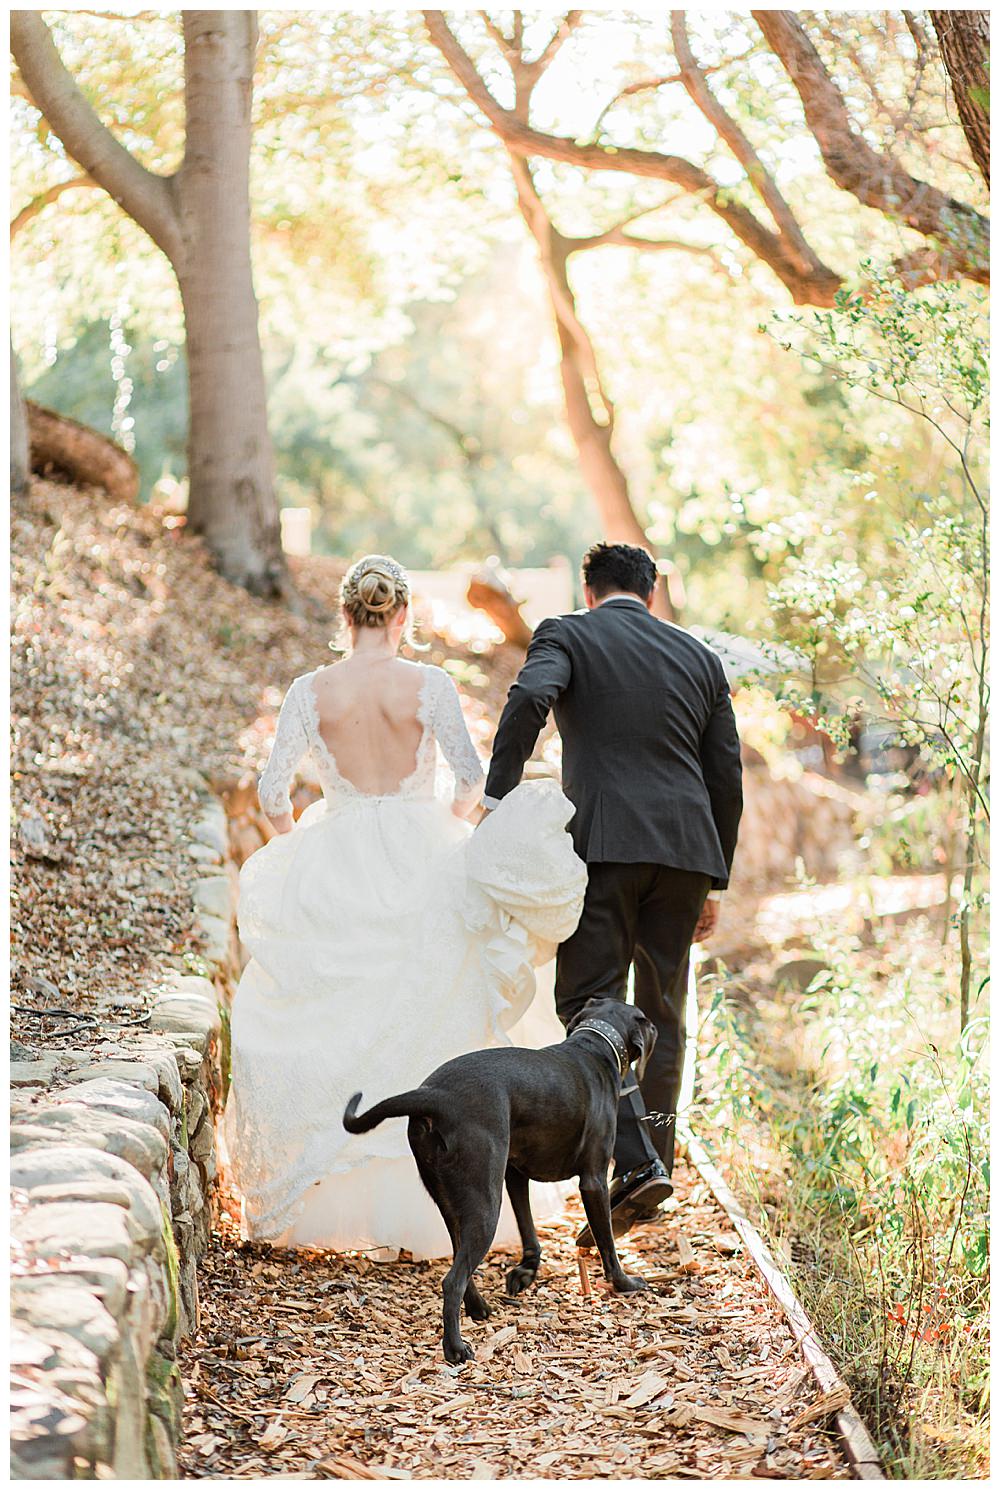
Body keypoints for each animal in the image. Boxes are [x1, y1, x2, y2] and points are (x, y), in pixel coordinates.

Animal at [344, 1001, 655, 1364]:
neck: (594, 1046)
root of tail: (437, 1096)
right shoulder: (593, 1181)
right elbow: (607, 1242)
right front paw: (624, 1283)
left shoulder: (515, 1174)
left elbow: (528, 1229)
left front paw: (526, 1272)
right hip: (485, 1205)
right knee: (452, 1280)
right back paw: (455, 1348)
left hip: (453, 1201)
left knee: (459, 1261)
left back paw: (478, 1308)